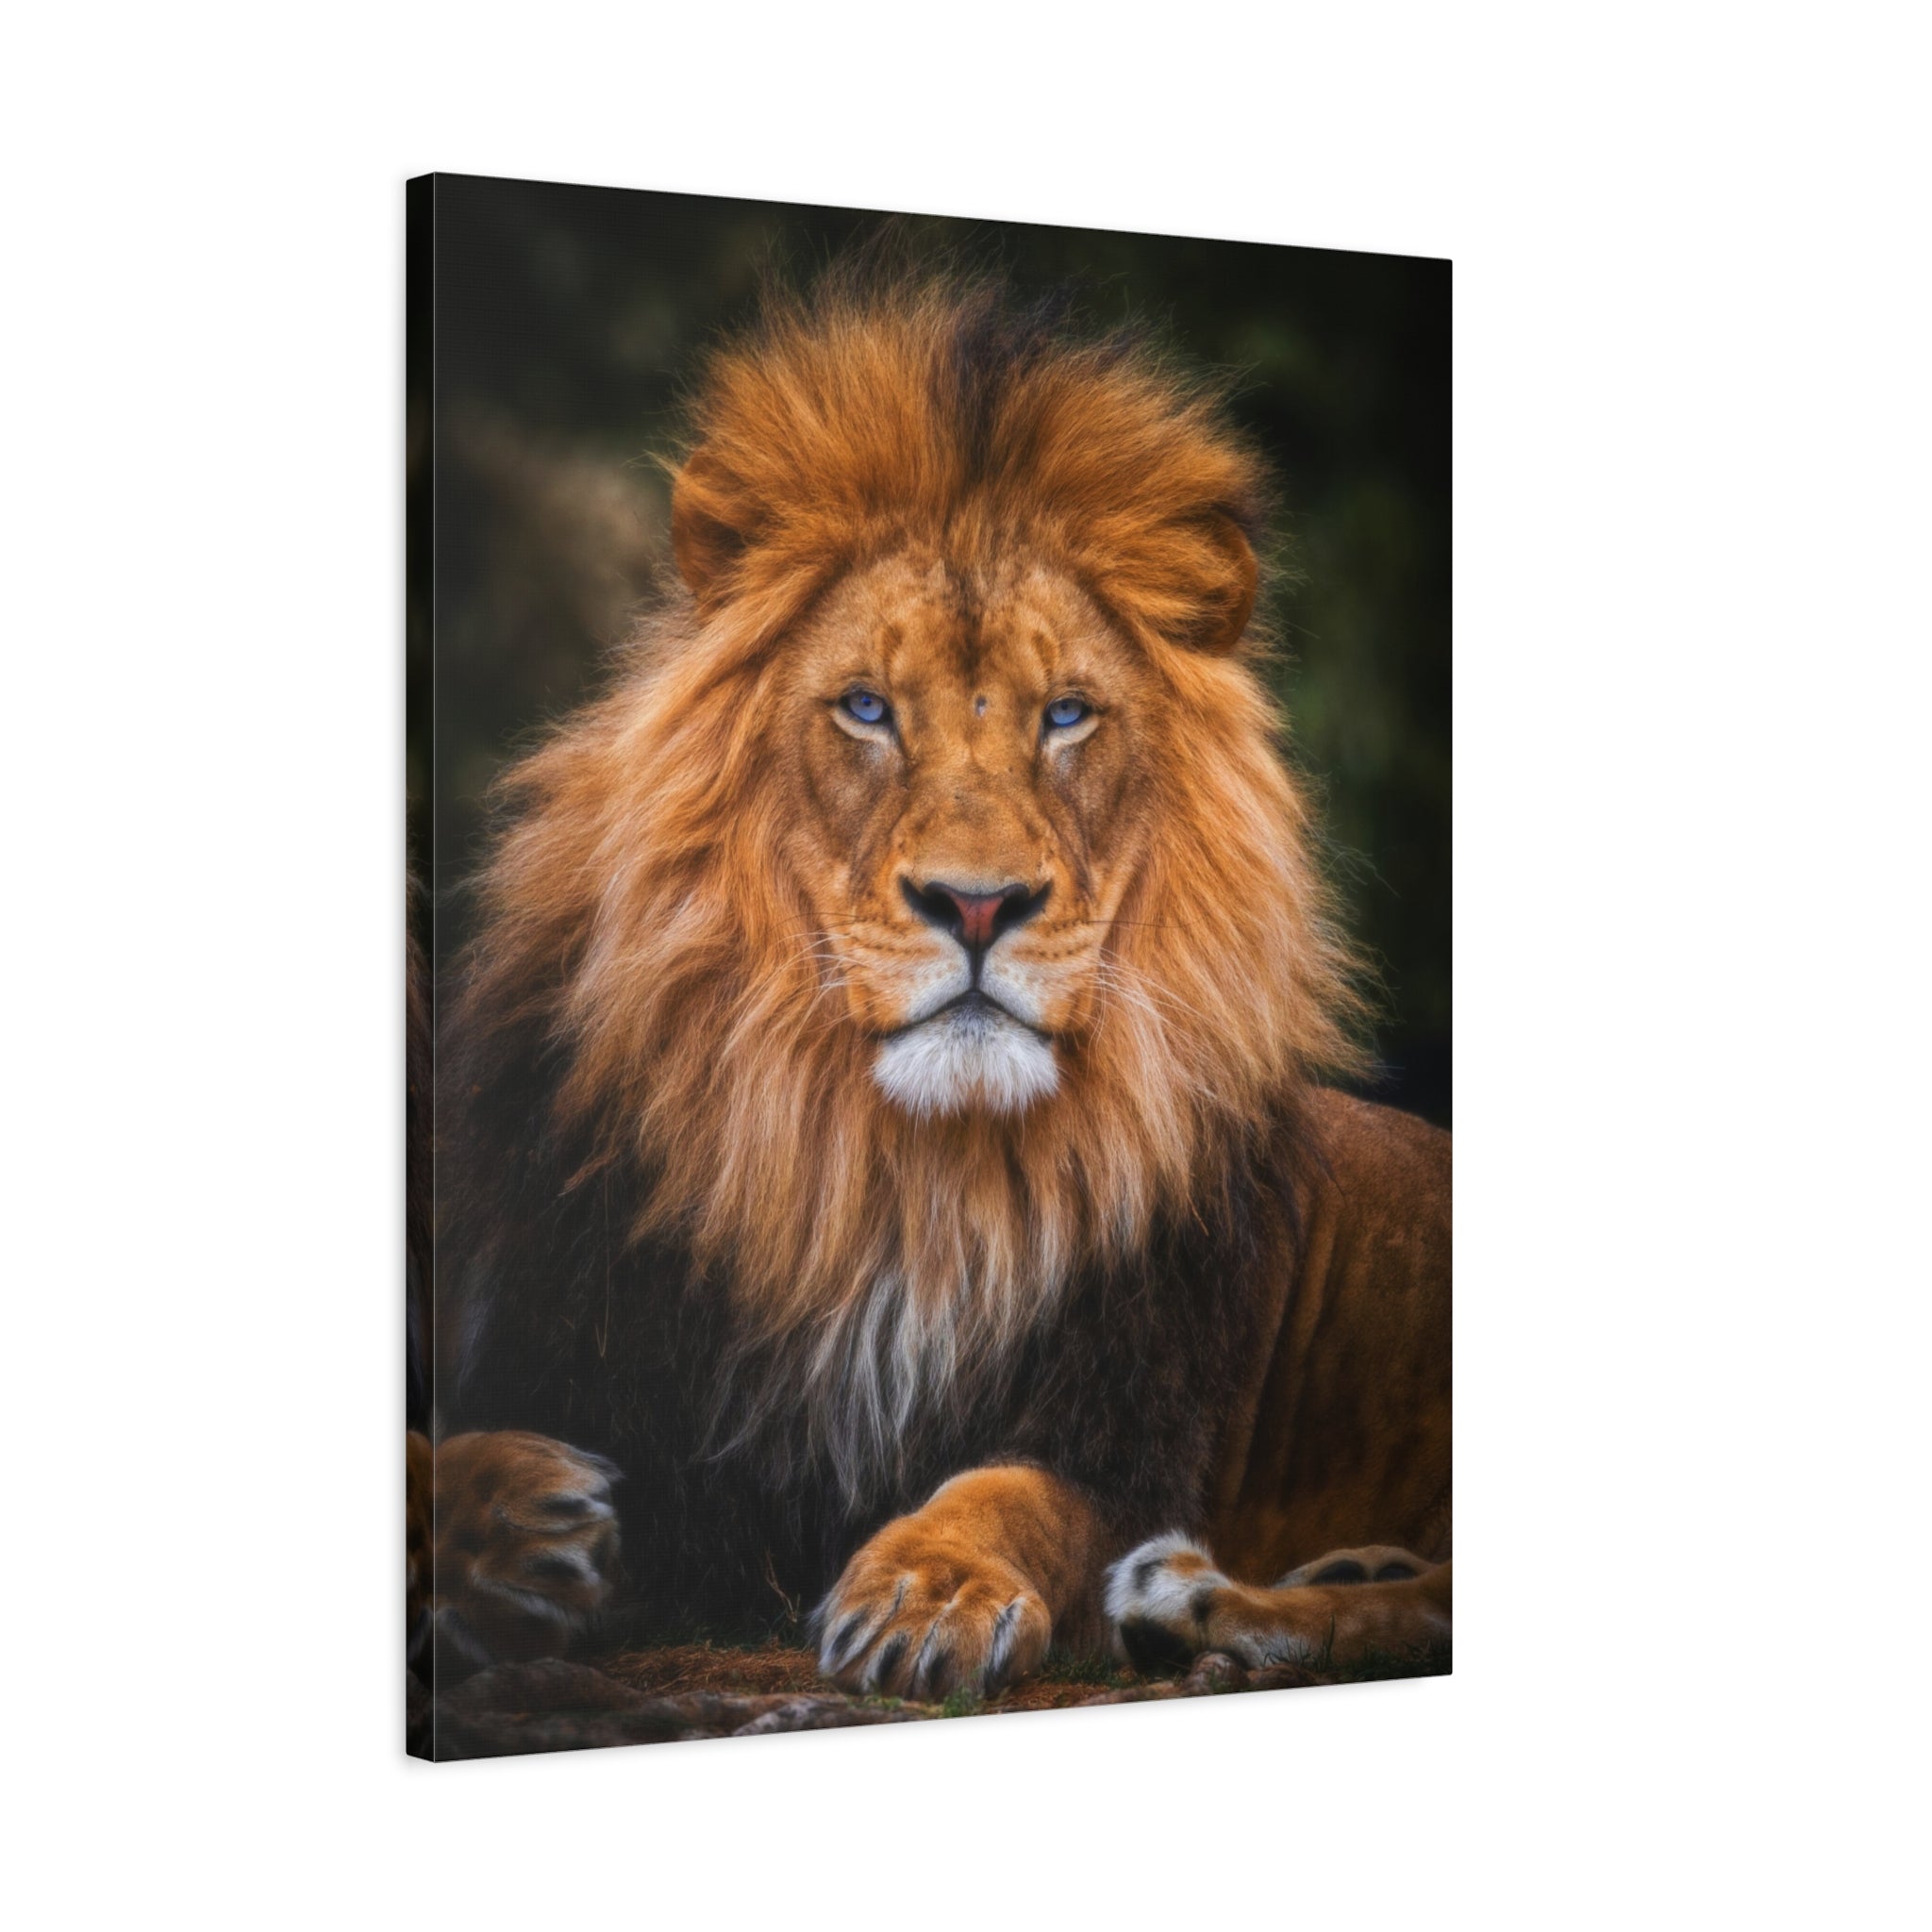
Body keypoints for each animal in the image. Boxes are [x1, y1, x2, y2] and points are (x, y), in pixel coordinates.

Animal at [417, 269, 1451, 1701]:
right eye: (865, 708)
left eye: (1066, 715)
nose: (975, 904)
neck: (896, 1178)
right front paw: (512, 1522)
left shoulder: (1128, 1428)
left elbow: (1014, 1491)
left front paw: (927, 1587)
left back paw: (1201, 1603)